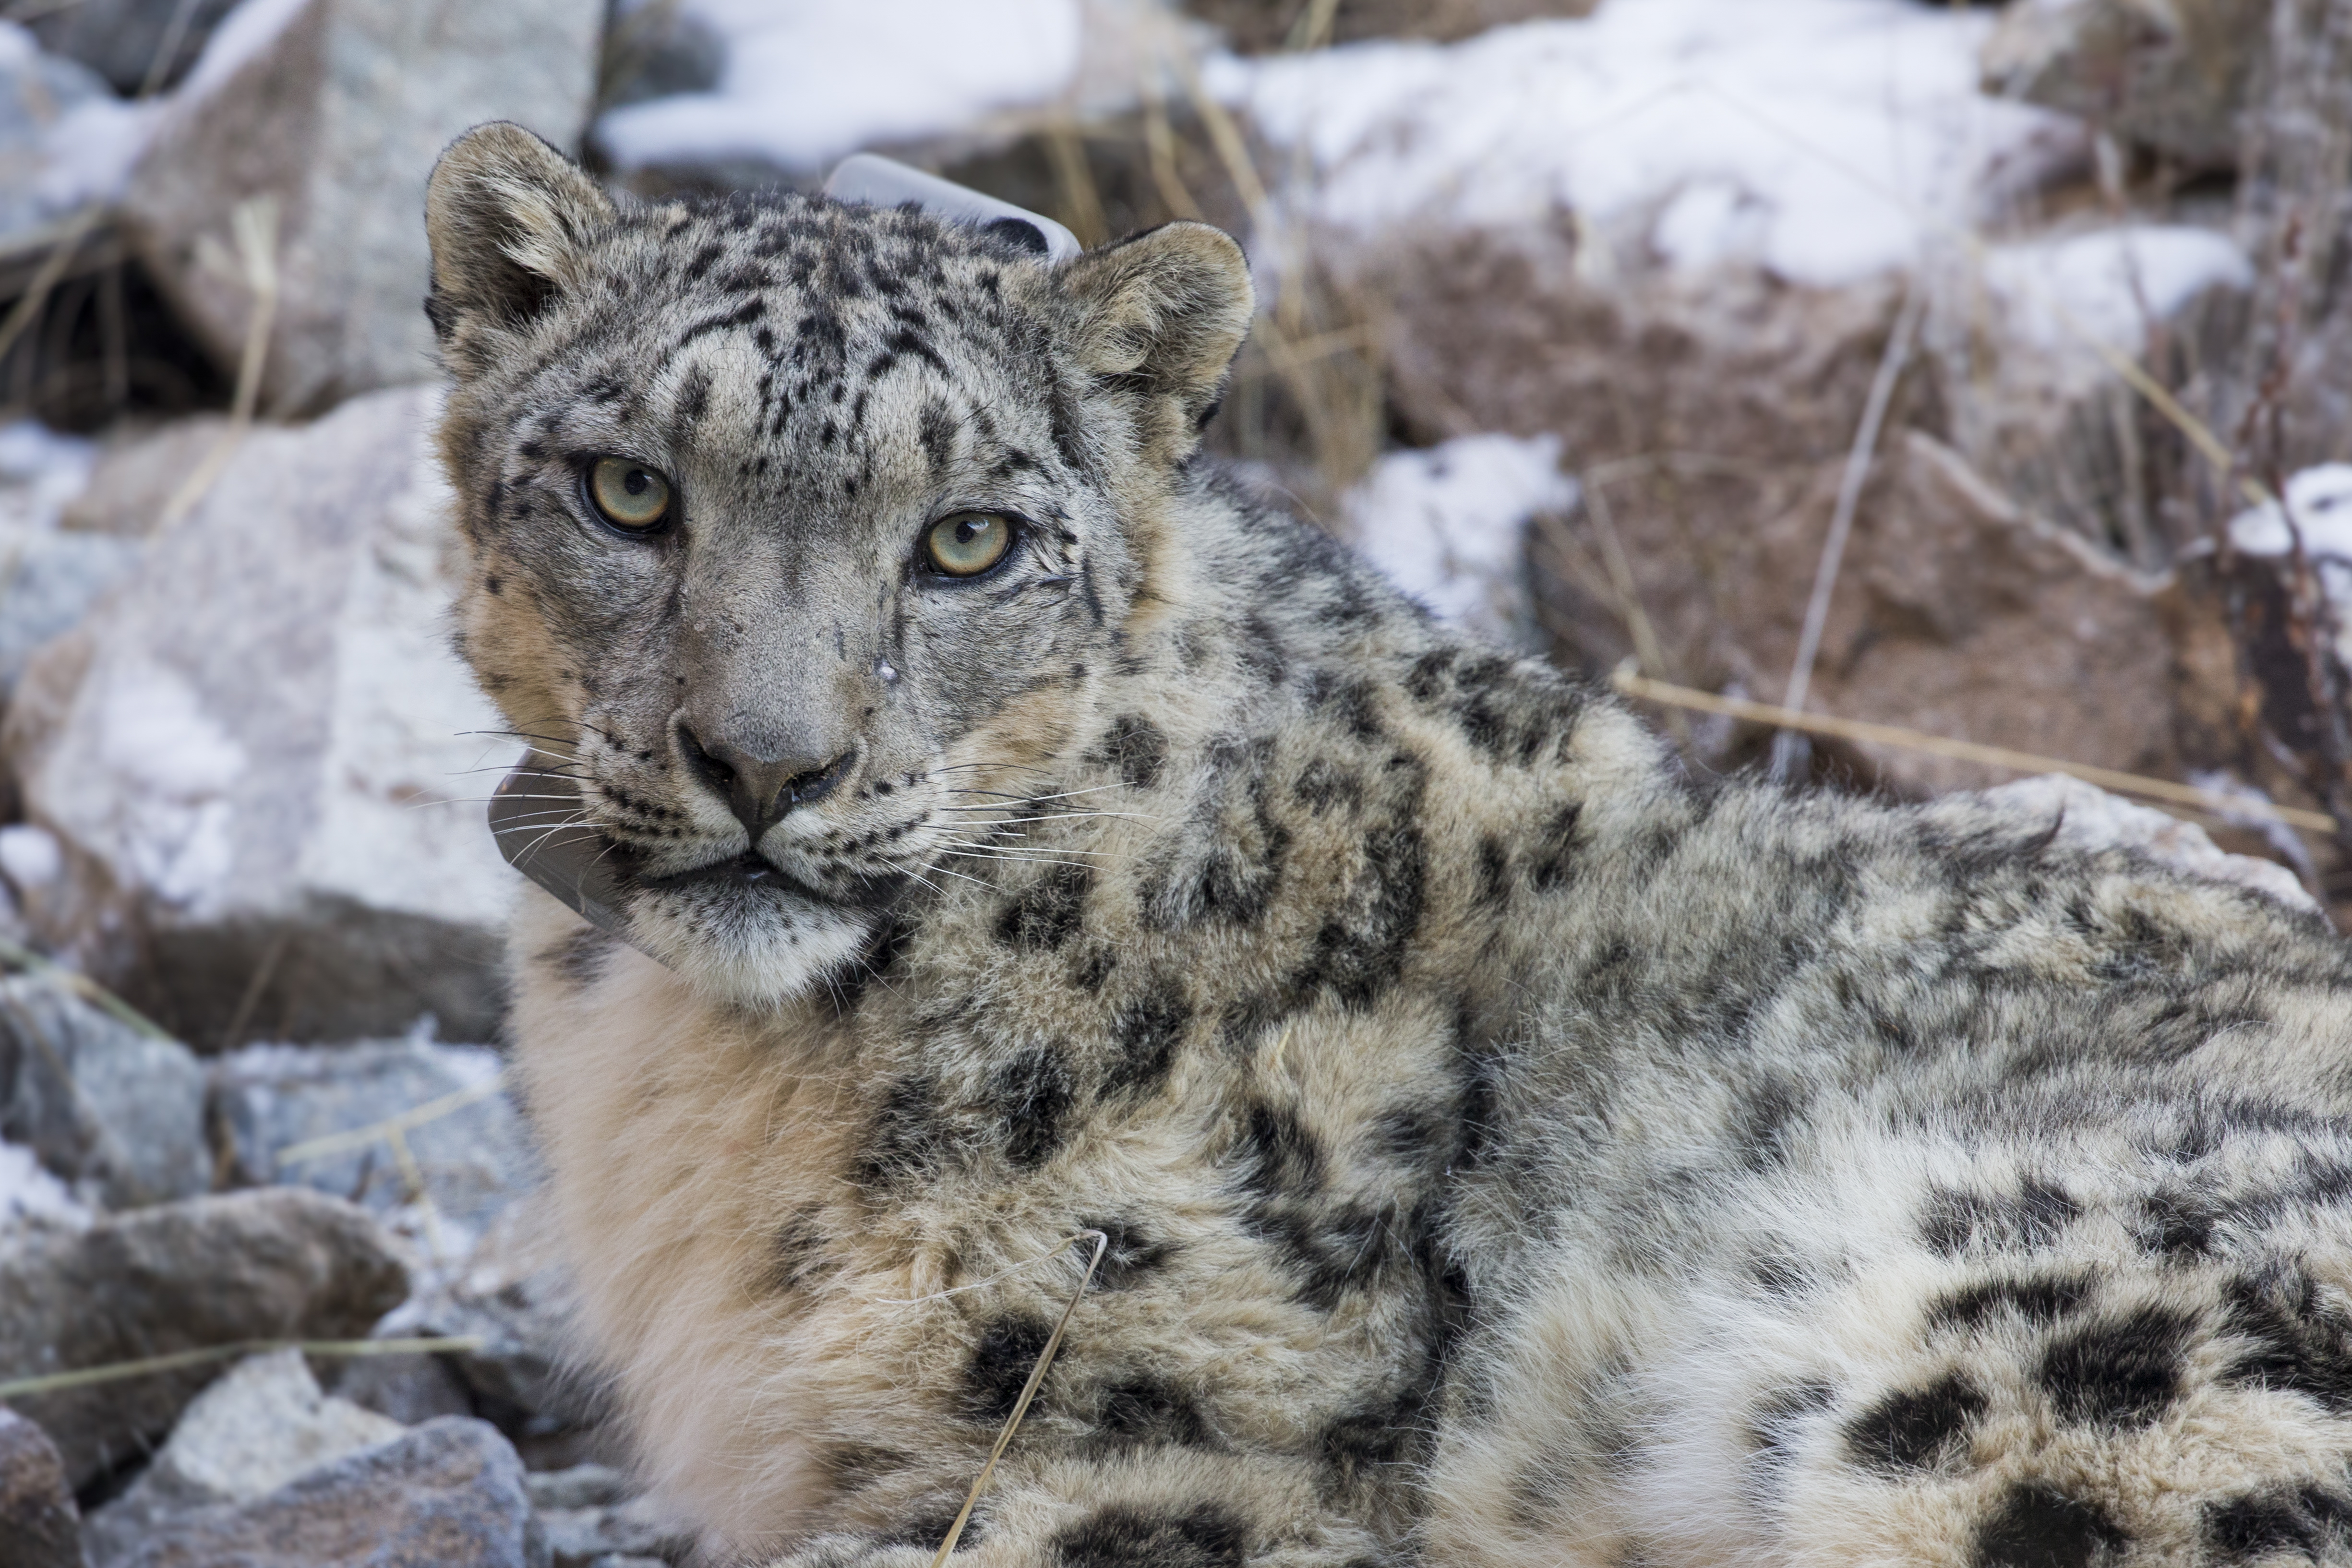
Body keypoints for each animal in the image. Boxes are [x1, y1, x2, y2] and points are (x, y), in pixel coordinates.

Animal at [432, 126, 2352, 1568]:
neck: (697, 1085)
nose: (767, 762)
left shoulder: (1166, 1450)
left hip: (2047, 1366)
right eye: (627, 492)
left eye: (969, 541)